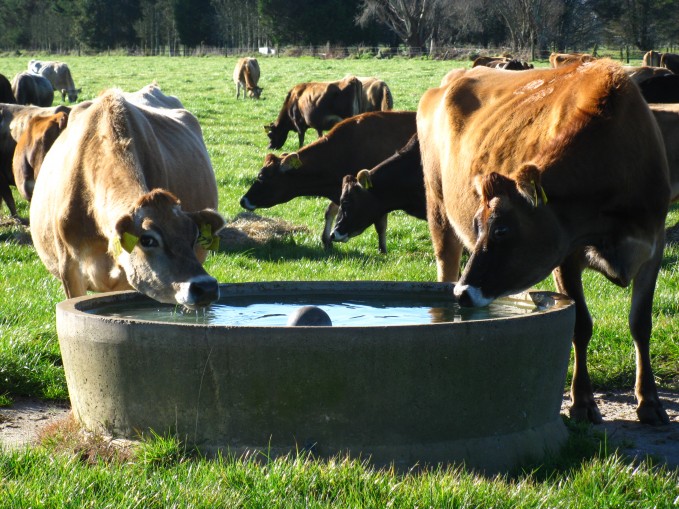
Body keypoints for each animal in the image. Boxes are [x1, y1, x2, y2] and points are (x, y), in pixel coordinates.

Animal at [242, 111, 417, 248]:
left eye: (261, 177)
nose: (243, 200)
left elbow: (380, 225)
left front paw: (383, 251)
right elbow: (330, 211)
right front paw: (326, 239)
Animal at [417, 60, 671, 425]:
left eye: (502, 231)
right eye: (478, 226)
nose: (463, 294)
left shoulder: (654, 245)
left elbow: (641, 324)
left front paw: (649, 401)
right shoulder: (565, 255)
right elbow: (580, 325)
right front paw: (582, 403)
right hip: (438, 208)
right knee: (445, 265)